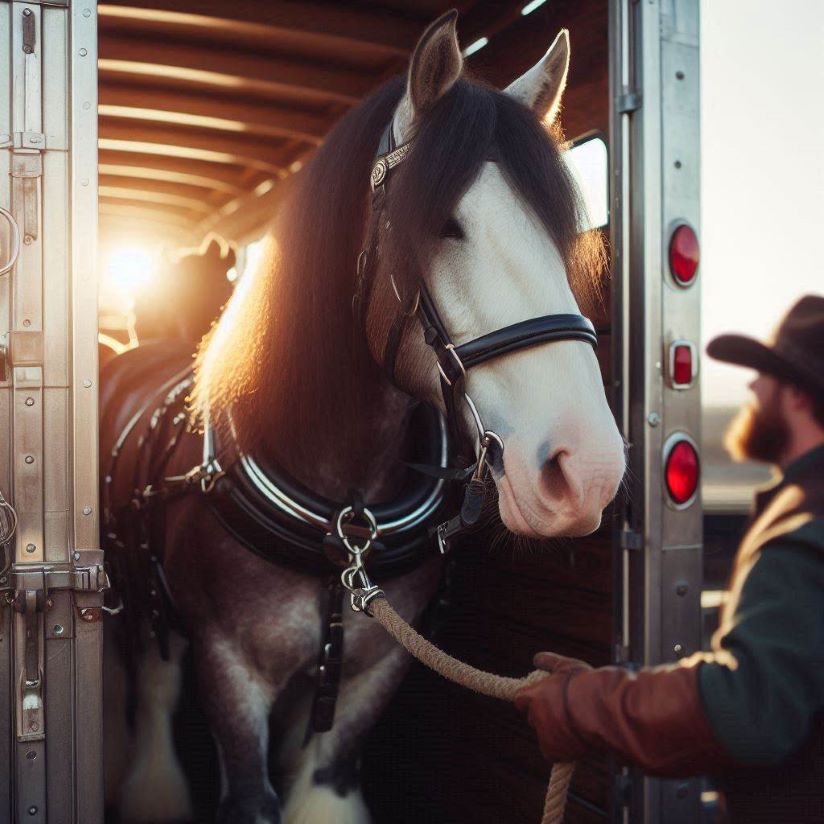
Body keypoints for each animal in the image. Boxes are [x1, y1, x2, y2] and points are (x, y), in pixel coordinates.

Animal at [99, 11, 626, 824]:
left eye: (562, 228)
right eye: (441, 223)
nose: (589, 471)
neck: (342, 517)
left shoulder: (370, 677)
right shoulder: (227, 667)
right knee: (150, 694)